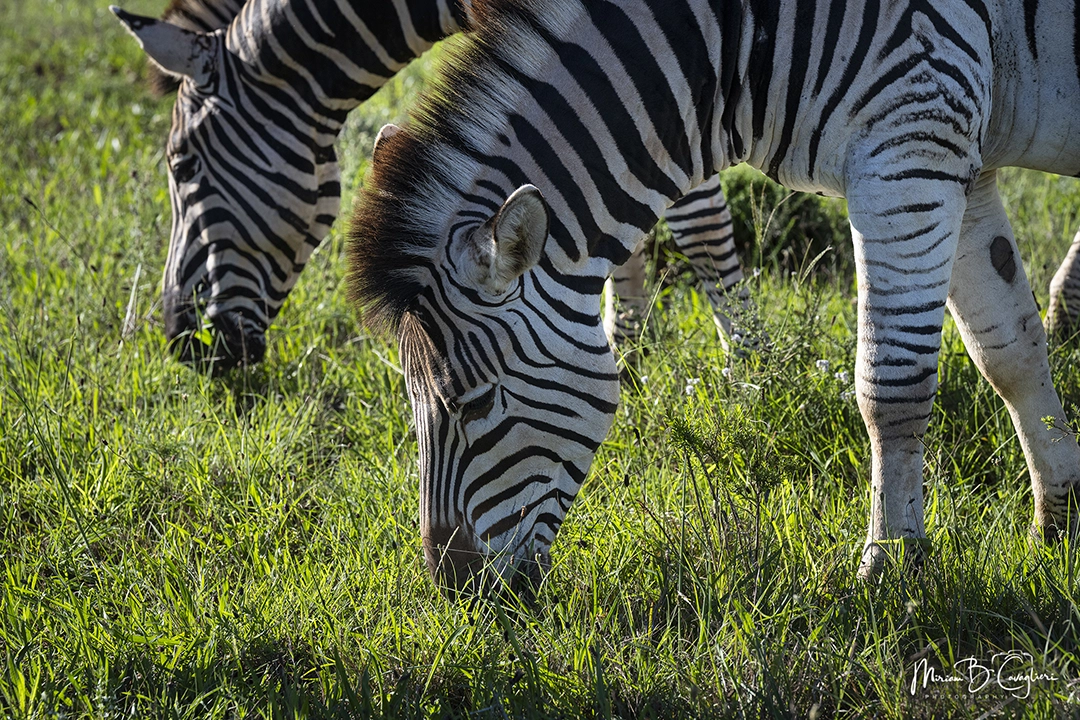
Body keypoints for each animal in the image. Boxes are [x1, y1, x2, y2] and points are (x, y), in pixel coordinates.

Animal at [348, 0, 1080, 592]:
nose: (453, 590)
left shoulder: (913, 145)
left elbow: (891, 387)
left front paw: (892, 567)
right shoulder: (963, 163)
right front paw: (1059, 523)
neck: (738, 38)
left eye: (472, 405)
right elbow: (1011, 355)